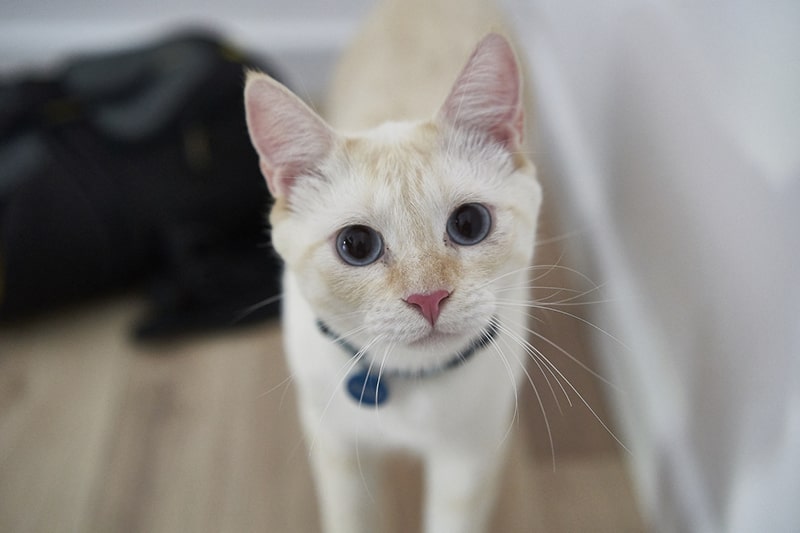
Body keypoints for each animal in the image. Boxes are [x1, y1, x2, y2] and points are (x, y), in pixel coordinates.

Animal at [245, 2, 544, 528]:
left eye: (470, 223)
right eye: (356, 245)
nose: (428, 298)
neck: (411, 382)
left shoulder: (469, 457)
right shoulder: (337, 449)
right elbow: (350, 518)